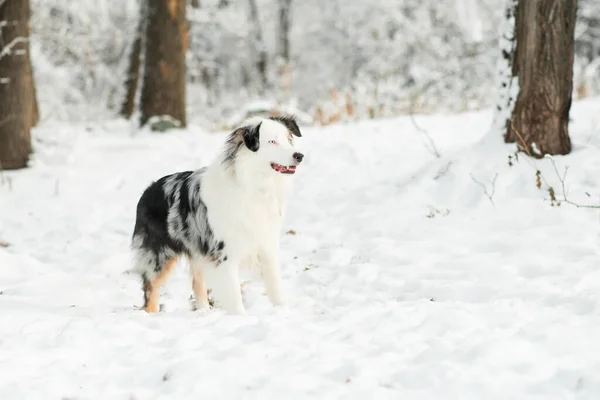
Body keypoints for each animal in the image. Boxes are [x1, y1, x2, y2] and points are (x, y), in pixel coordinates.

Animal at [129, 114, 302, 314]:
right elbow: (234, 293)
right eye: (272, 141)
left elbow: (275, 285)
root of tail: (148, 189)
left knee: (197, 284)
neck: (254, 186)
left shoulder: (265, 243)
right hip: (158, 254)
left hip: (198, 251)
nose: (299, 156)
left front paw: (283, 309)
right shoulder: (224, 253)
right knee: (151, 287)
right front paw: (241, 316)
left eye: (289, 140)